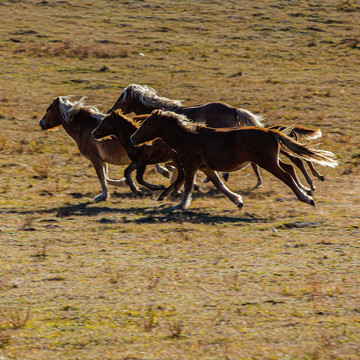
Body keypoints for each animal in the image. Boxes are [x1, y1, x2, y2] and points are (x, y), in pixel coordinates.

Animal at [131, 109, 338, 211]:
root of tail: (270, 131)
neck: (187, 137)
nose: (133, 138)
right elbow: (219, 184)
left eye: (146, 124)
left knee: (286, 175)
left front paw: (180, 204)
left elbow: (188, 186)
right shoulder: (205, 168)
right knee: (289, 168)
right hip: (272, 161)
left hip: (267, 162)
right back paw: (306, 190)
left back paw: (306, 197)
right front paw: (237, 201)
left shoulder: (191, 167)